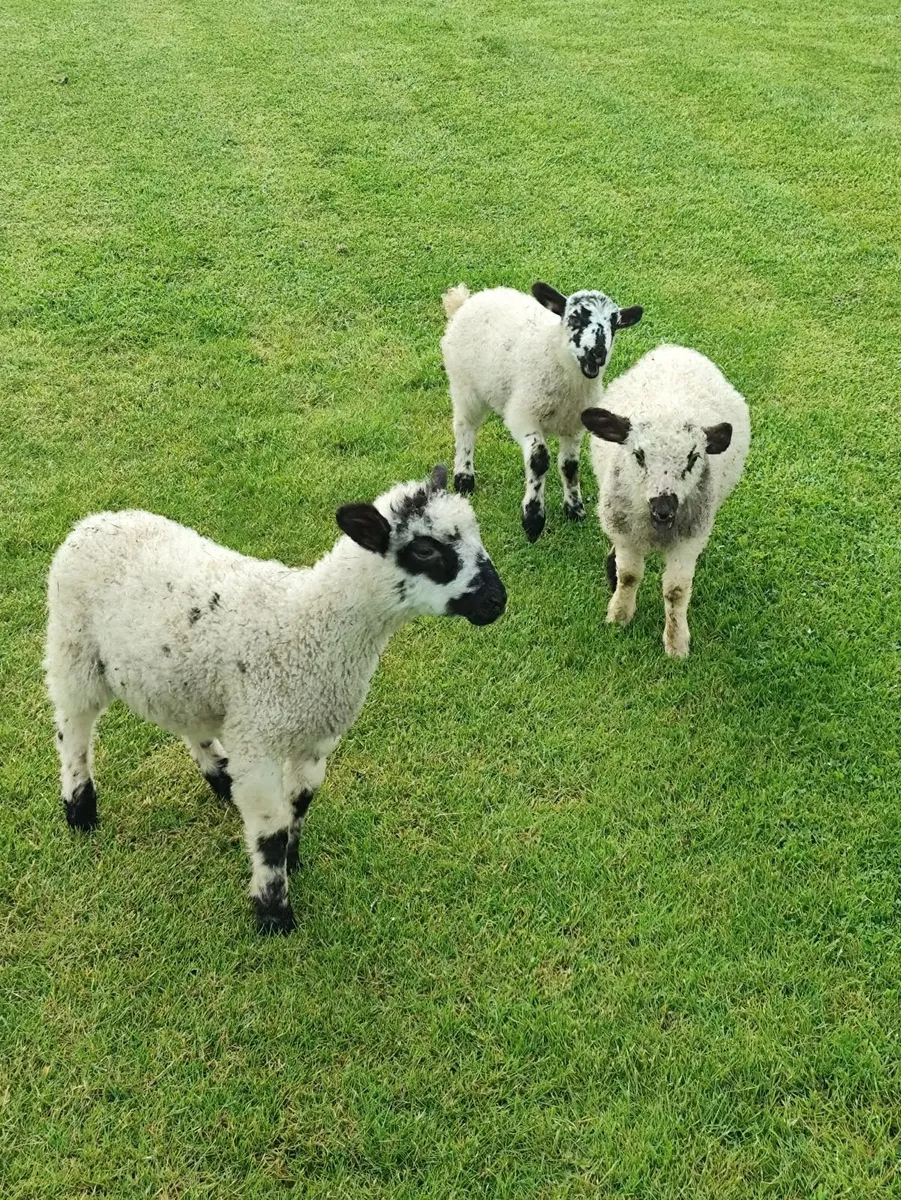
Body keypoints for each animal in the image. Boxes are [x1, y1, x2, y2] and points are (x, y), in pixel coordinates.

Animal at [44, 465, 507, 934]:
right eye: (426, 550)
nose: (497, 602)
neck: (309, 625)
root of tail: (93, 521)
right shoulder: (259, 739)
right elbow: (271, 831)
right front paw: (273, 912)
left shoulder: (314, 738)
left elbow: (298, 804)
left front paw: (292, 862)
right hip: (73, 646)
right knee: (73, 727)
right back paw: (80, 810)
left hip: (182, 675)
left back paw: (220, 776)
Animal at [440, 281, 643, 541]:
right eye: (574, 318)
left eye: (614, 325)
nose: (597, 352)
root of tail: (465, 301)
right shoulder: (524, 416)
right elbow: (539, 460)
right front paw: (533, 519)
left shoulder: (574, 427)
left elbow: (569, 466)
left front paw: (574, 509)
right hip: (465, 385)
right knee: (464, 428)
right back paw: (464, 478)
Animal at [581, 344, 750, 658]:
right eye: (638, 455)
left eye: (693, 458)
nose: (664, 510)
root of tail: (676, 349)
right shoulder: (625, 535)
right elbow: (629, 577)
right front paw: (619, 616)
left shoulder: (688, 542)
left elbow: (676, 592)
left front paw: (676, 643)